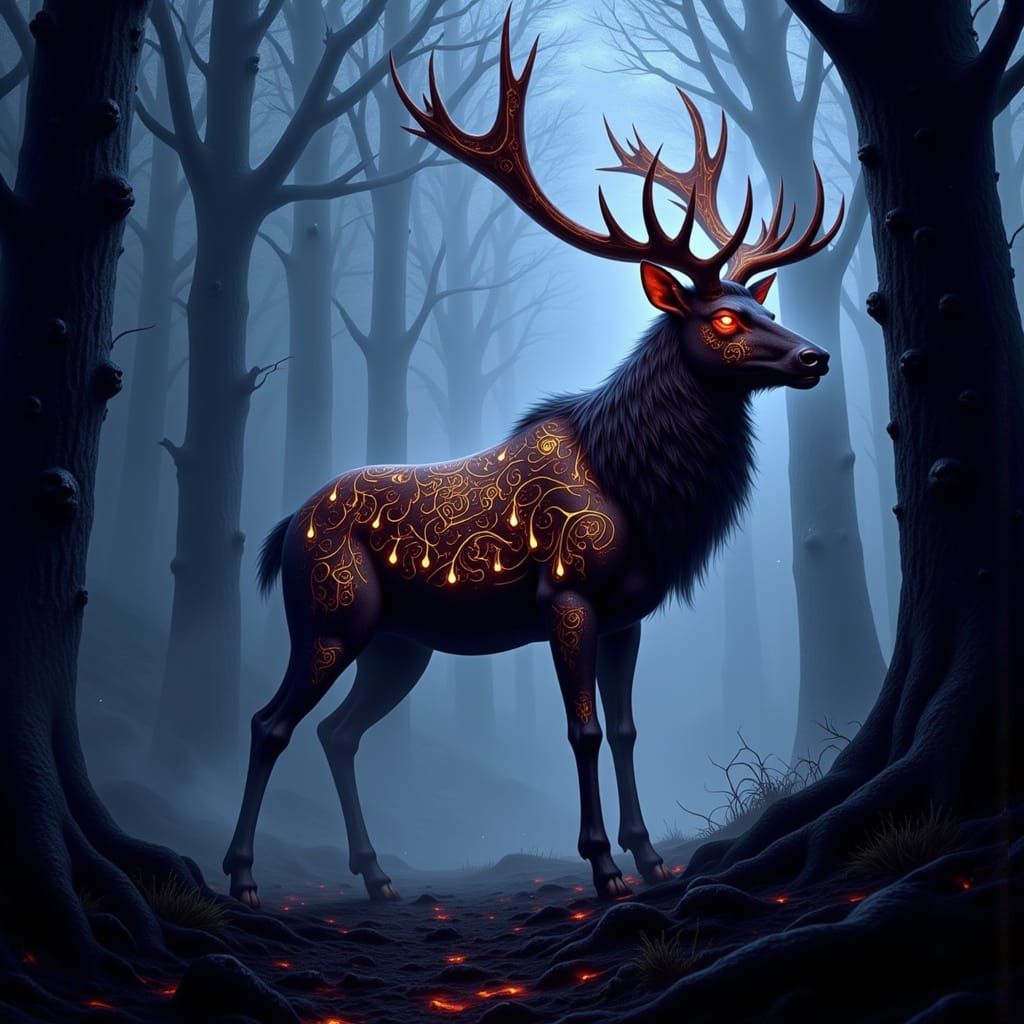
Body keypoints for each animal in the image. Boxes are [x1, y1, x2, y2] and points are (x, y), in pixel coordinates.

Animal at [223, 9, 843, 906]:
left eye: (761, 305)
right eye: (724, 320)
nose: (814, 356)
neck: (643, 494)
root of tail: (281, 530)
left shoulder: (630, 612)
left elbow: (626, 727)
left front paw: (651, 858)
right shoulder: (567, 594)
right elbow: (580, 729)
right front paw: (602, 866)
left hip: (403, 643)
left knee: (339, 733)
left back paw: (377, 876)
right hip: (331, 612)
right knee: (270, 722)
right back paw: (241, 878)